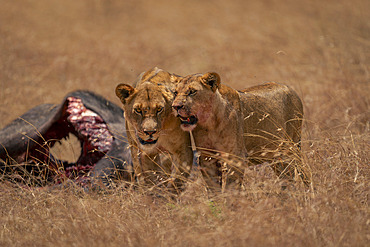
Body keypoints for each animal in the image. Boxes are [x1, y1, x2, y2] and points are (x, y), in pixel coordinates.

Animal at [172, 72, 304, 188]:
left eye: (192, 92)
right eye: (175, 92)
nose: (176, 106)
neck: (209, 124)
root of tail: (290, 88)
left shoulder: (235, 157)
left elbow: (232, 186)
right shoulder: (207, 157)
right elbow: (213, 187)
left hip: (292, 147)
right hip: (274, 155)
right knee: (285, 176)